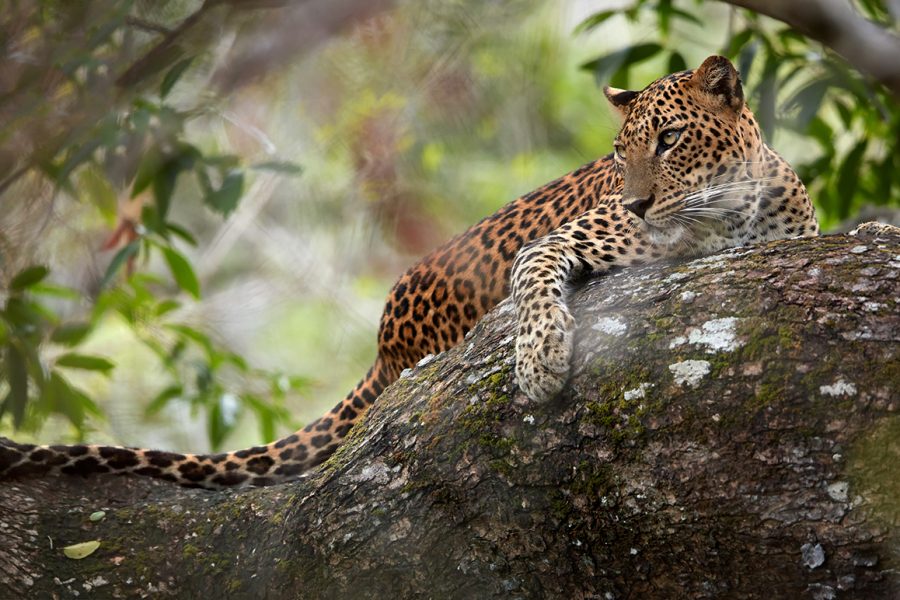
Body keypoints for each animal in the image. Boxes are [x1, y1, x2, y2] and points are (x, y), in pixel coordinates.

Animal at [0, 55, 818, 489]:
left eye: (671, 138)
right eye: (621, 154)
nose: (640, 202)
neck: (732, 210)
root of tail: (383, 344)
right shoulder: (560, 241)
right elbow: (536, 284)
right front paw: (541, 363)